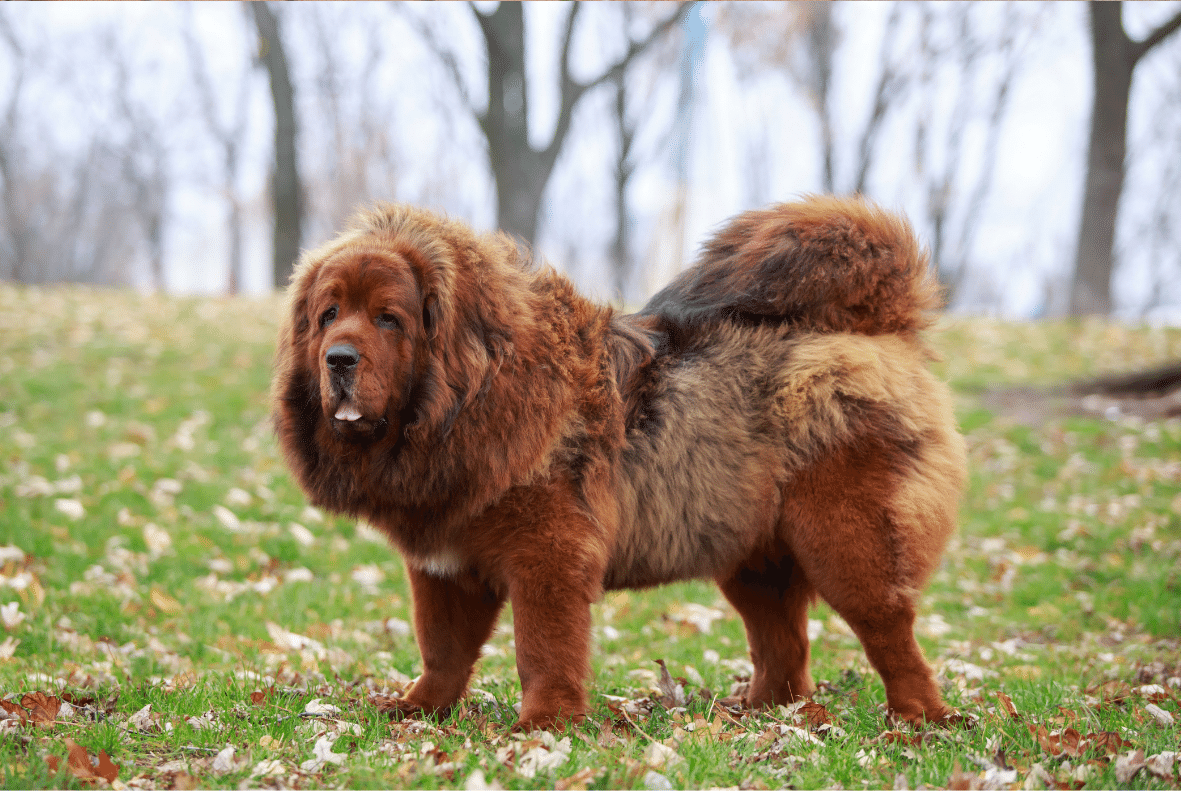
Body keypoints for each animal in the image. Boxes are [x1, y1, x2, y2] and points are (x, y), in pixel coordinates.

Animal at [273, 197, 968, 731]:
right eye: (328, 315)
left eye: (389, 320)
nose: (338, 358)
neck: (470, 398)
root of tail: (882, 330)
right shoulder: (444, 565)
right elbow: (442, 649)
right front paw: (417, 711)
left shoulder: (547, 555)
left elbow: (543, 648)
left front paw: (544, 724)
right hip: (752, 556)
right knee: (785, 648)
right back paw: (761, 714)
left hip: (845, 541)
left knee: (890, 633)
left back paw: (920, 720)